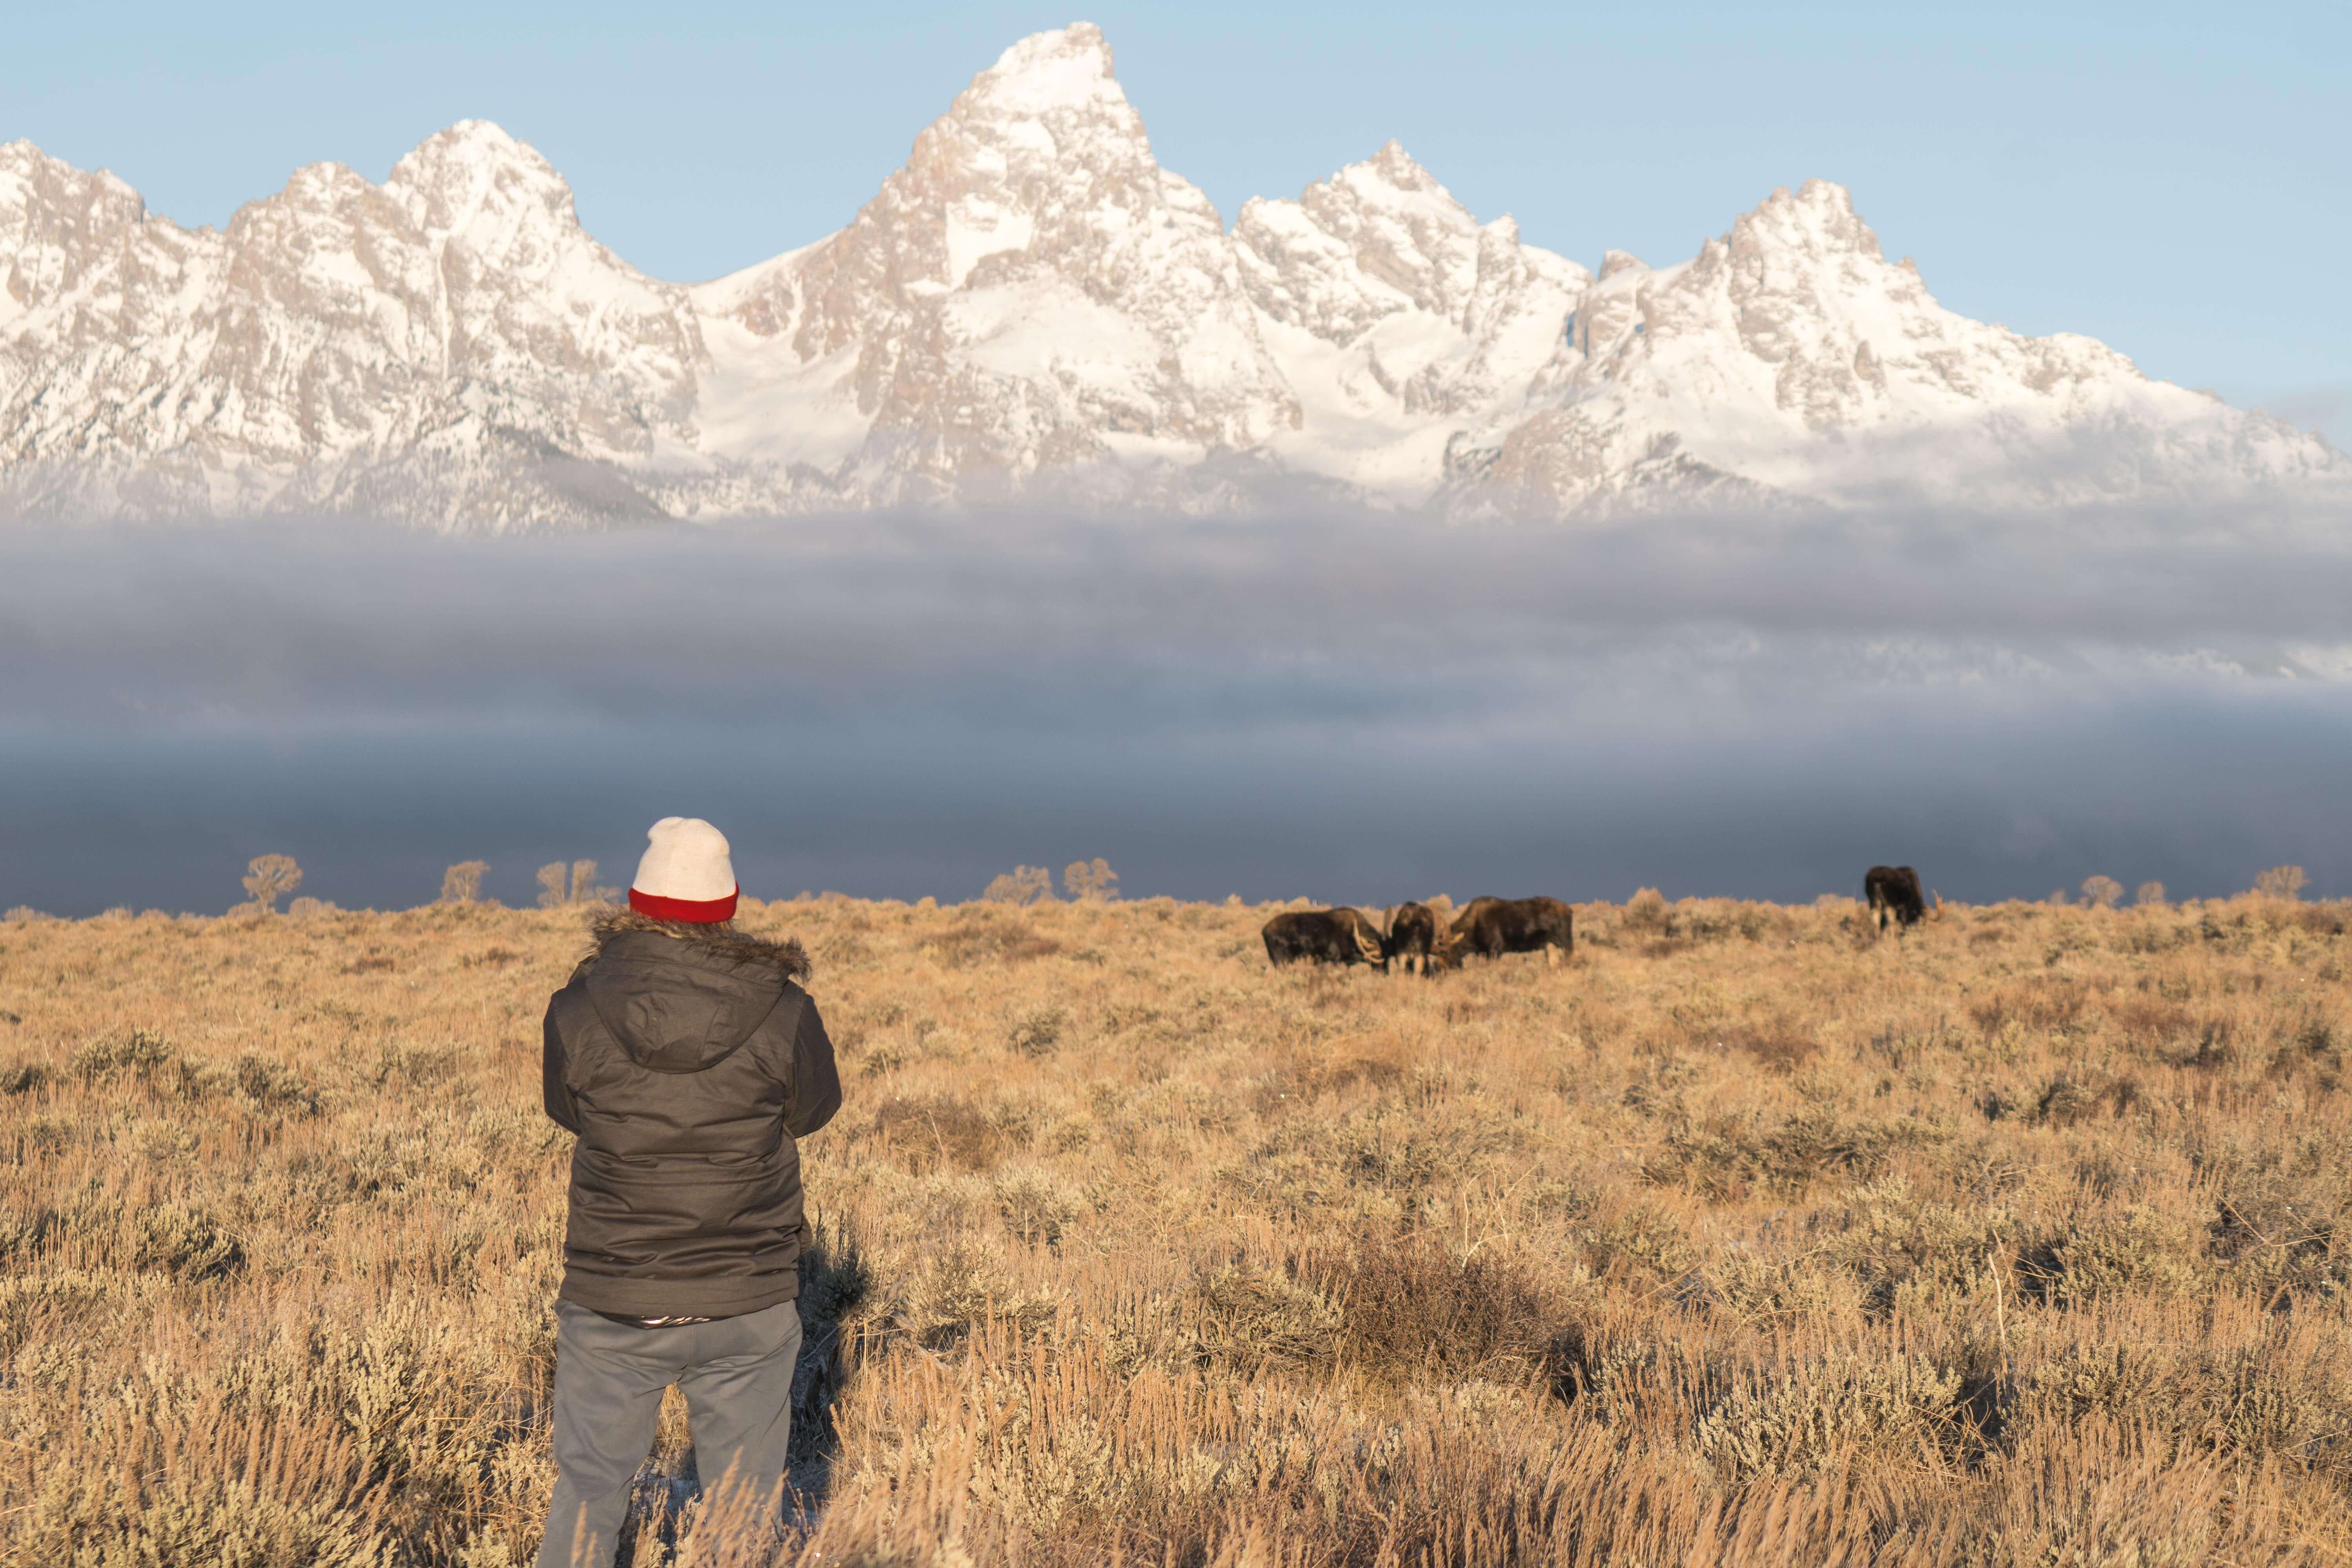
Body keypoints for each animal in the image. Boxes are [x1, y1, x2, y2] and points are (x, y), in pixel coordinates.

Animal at [1430, 893, 1581, 968]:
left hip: (1565, 940)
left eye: (1445, 951)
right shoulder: (1484, 952)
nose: (1440, 967)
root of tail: (1570, 910)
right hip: (1550, 945)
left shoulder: (1495, 949)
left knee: (1572, 955)